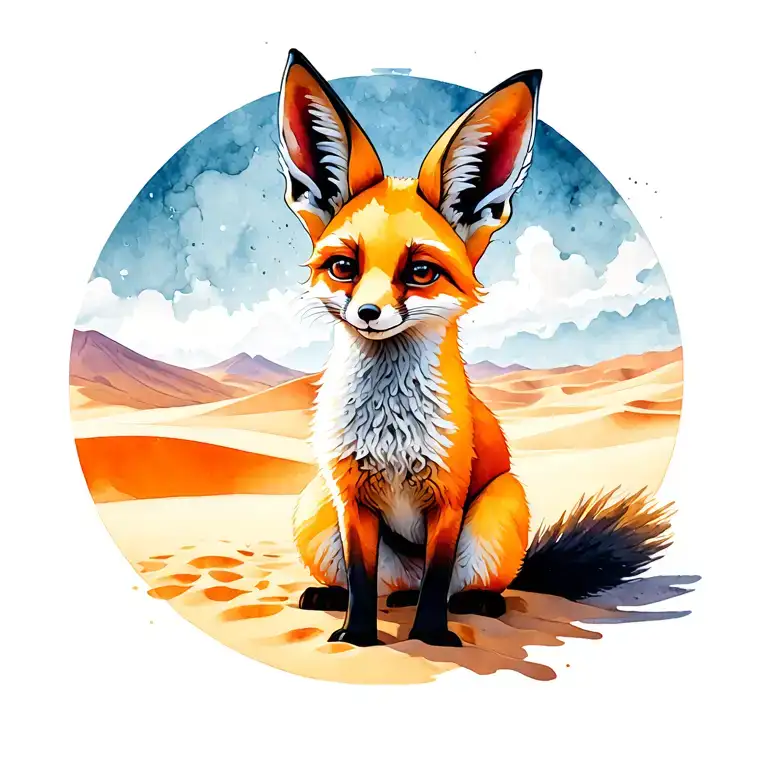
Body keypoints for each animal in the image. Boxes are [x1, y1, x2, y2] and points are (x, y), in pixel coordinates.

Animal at [277, 49, 674, 647]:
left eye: (420, 272)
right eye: (344, 267)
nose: (368, 314)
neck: (390, 431)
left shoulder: (449, 496)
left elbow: (439, 576)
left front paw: (431, 639)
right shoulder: (350, 497)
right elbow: (362, 579)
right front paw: (358, 637)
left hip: (500, 503)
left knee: (459, 588)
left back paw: (475, 605)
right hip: (314, 503)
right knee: (387, 586)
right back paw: (337, 596)